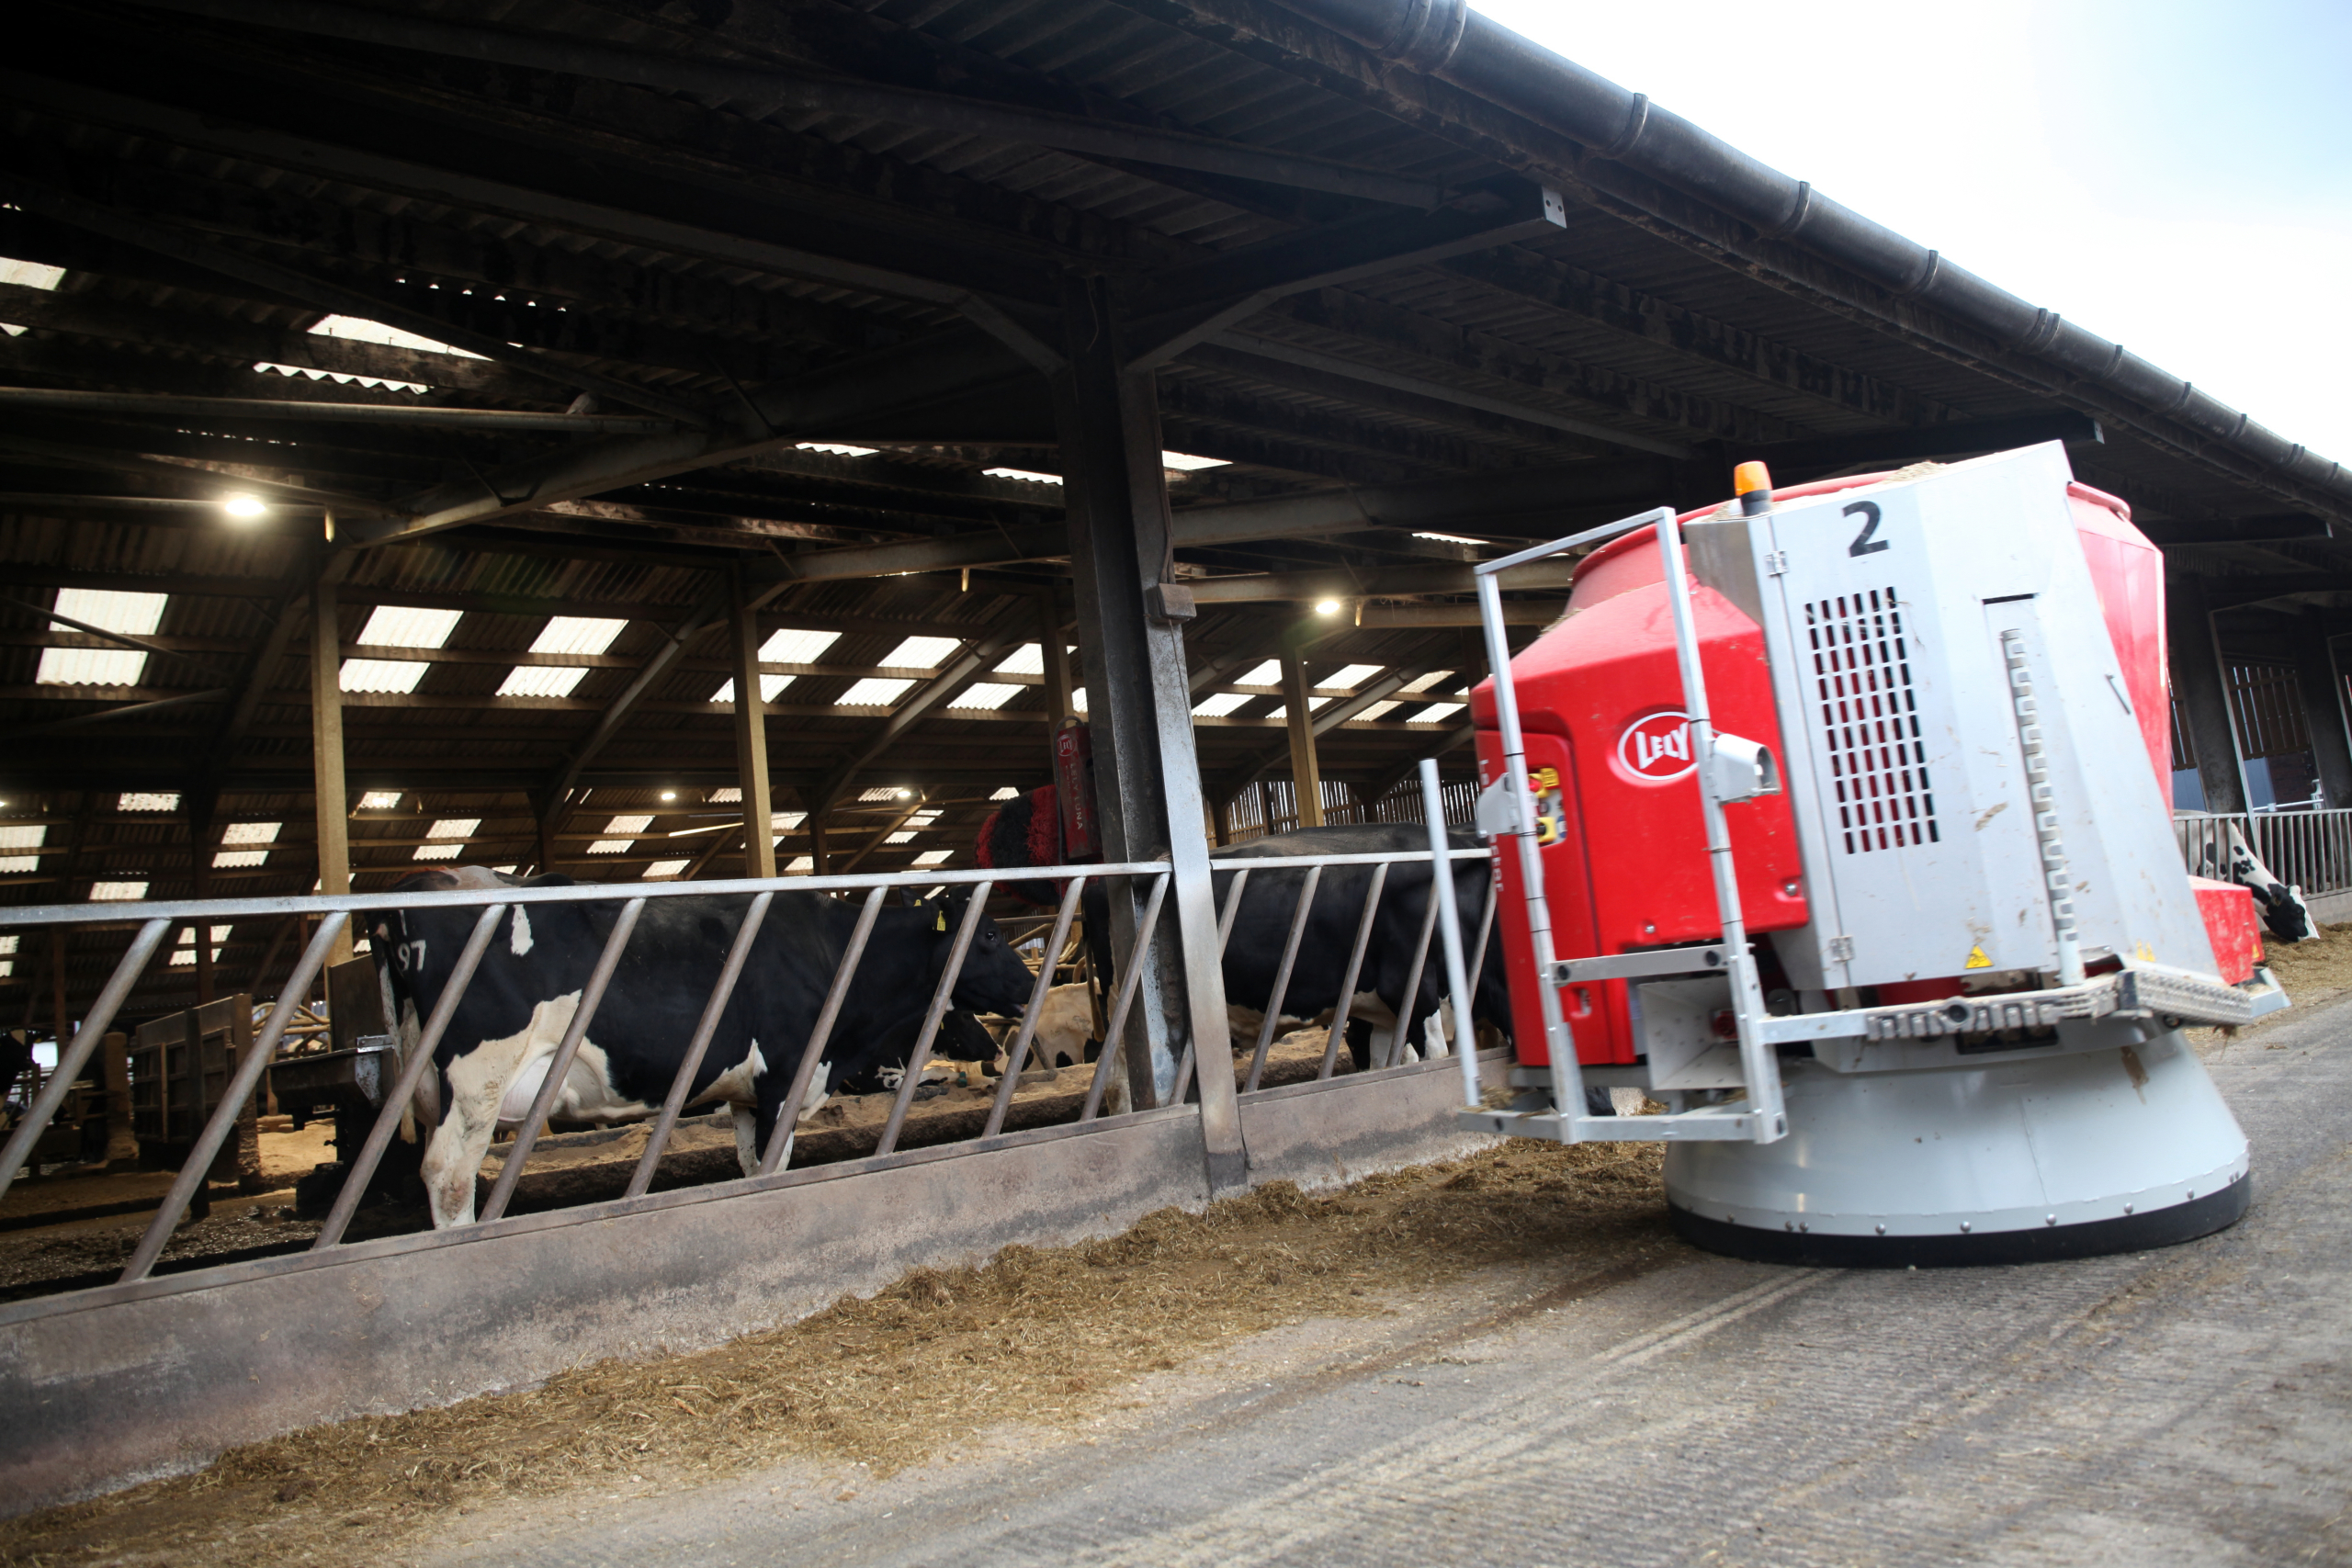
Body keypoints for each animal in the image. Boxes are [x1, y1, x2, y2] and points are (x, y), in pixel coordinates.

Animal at [369, 869, 1036, 1227]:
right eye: (989, 934)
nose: (1032, 985)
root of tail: (420, 886)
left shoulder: (745, 1094)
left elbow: (747, 1165)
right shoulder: (783, 1079)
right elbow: (775, 1167)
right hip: (477, 1081)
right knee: (449, 1177)